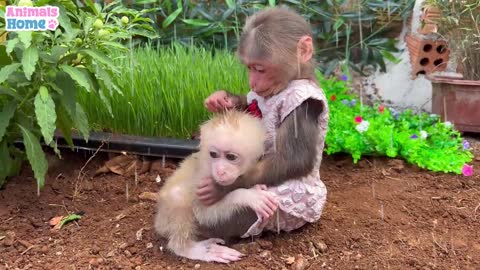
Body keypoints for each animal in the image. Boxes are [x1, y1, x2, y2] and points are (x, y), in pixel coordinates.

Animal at [154, 109, 278, 264]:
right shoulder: (203, 177)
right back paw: (189, 248)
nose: (220, 171)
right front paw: (248, 196)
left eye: (231, 157)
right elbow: (203, 214)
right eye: (213, 154)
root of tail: (158, 223)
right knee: (177, 196)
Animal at [199, 5, 330, 240]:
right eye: (249, 68)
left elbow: (292, 158)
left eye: (260, 69)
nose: (253, 81)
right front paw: (221, 99)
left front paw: (217, 188)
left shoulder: (303, 106)